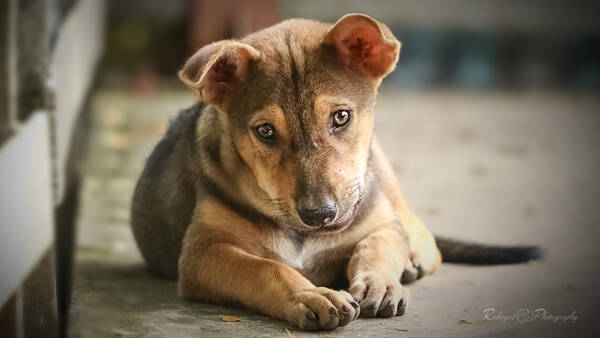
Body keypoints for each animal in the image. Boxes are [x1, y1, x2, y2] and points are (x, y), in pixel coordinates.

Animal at [130, 13, 540, 330]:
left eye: (340, 117)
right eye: (265, 131)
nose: (320, 215)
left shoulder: (380, 223)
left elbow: (375, 245)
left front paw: (380, 283)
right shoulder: (203, 254)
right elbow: (265, 268)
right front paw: (311, 295)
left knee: (422, 233)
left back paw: (412, 263)